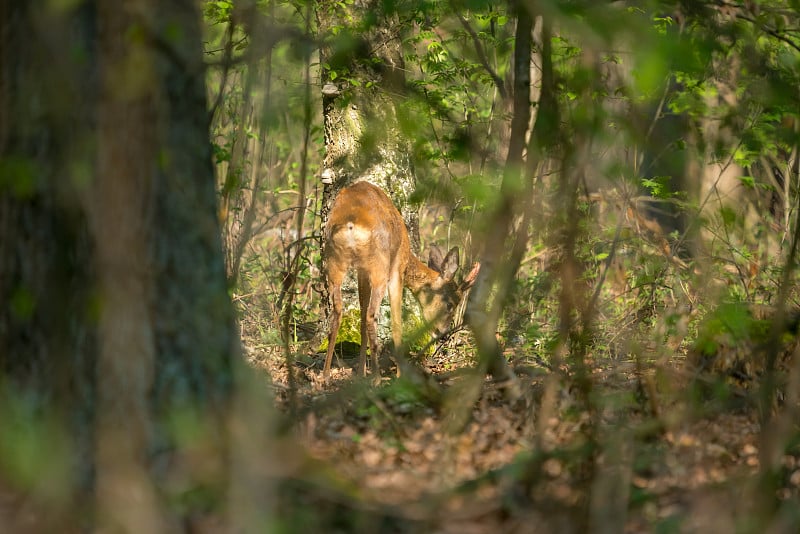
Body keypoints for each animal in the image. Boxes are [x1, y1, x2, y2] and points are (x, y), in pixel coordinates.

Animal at [322, 182, 478, 384]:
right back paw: (377, 378)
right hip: (379, 266)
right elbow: (397, 324)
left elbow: (362, 314)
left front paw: (361, 373)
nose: (443, 334)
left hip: (334, 262)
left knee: (339, 311)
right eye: (451, 304)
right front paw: (399, 375)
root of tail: (350, 224)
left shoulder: (362, 271)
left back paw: (326, 375)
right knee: (371, 315)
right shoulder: (397, 269)